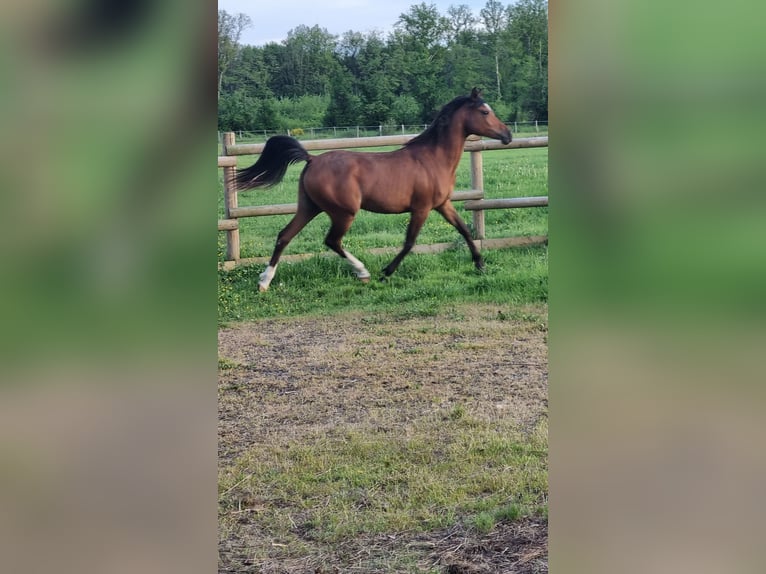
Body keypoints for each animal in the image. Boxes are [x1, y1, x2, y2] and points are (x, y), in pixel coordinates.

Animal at [234, 89, 510, 292]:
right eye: (485, 111)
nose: (507, 134)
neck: (433, 159)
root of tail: (312, 159)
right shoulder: (421, 208)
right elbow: (409, 242)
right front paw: (386, 273)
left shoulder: (443, 205)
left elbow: (464, 230)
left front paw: (480, 265)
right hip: (343, 212)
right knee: (332, 240)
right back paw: (363, 272)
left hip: (309, 207)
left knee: (284, 236)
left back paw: (264, 282)